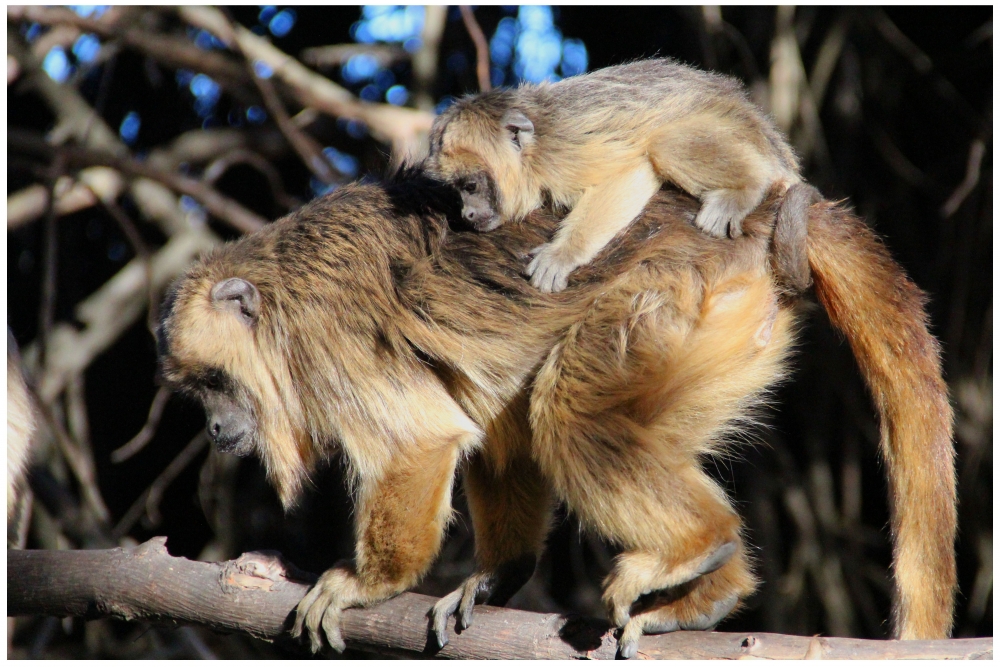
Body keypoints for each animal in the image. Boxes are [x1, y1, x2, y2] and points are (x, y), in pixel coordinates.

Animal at [426, 58, 800, 294]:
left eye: (471, 185)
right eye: (459, 191)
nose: (467, 213)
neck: (534, 151)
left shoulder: (564, 158)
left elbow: (632, 170)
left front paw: (563, 254)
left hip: (741, 132)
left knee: (664, 144)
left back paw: (749, 185)